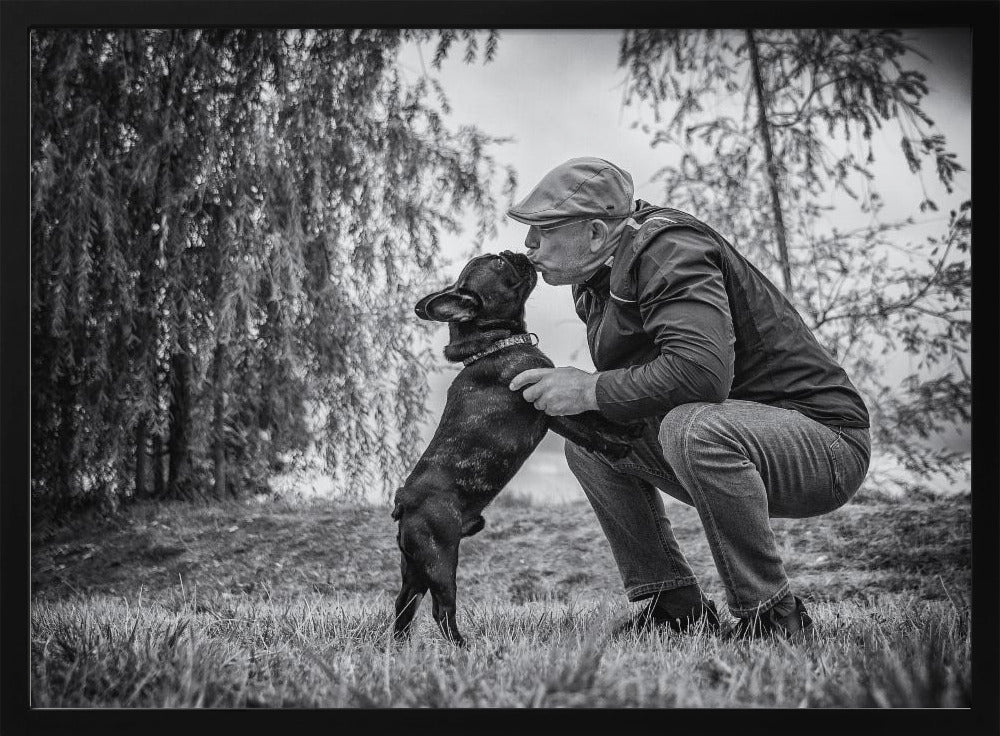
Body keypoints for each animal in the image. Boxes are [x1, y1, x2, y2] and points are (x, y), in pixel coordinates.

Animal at [390, 252, 640, 644]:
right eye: (498, 264)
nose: (516, 252)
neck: (493, 345)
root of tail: (405, 502)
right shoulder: (548, 405)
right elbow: (588, 425)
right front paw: (620, 442)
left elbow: (592, 417)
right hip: (440, 558)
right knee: (441, 609)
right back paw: (462, 646)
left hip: (415, 569)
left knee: (404, 607)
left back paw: (400, 647)